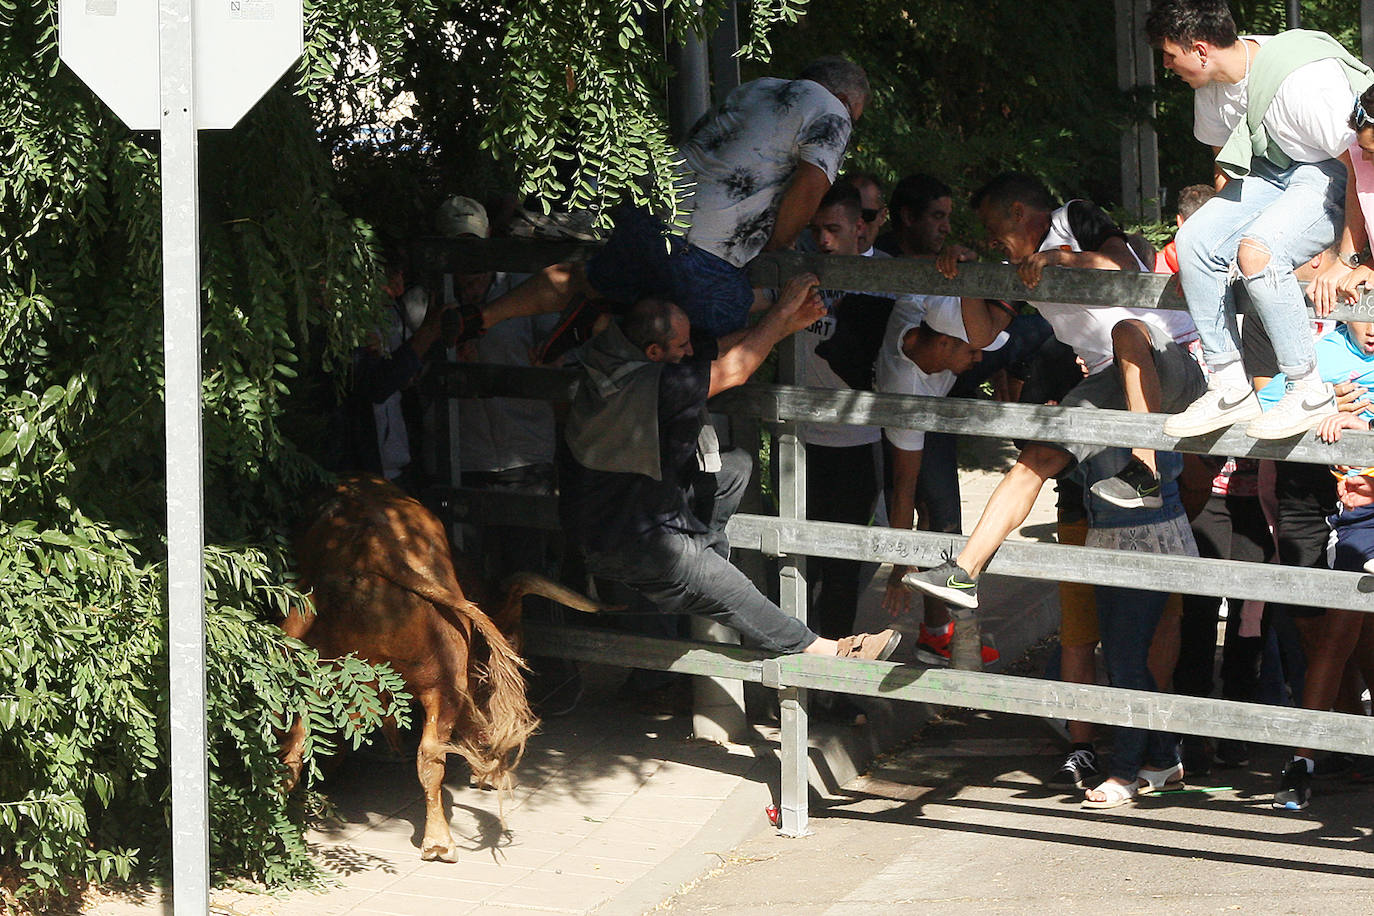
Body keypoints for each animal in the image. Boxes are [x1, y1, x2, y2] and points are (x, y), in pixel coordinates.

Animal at [278, 477, 601, 862]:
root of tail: (370, 549)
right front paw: (491, 775)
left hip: (312, 674)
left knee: (293, 749)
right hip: (441, 682)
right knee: (431, 756)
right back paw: (438, 841)